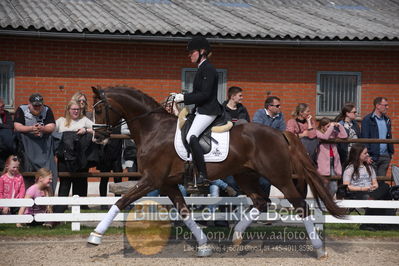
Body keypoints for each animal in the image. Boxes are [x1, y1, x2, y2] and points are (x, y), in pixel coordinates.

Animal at [89, 87, 346, 258]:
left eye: (100, 109)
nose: (97, 138)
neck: (154, 129)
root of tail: (279, 133)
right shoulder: (167, 183)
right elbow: (184, 212)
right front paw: (204, 245)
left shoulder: (152, 179)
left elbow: (121, 201)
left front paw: (95, 236)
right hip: (245, 175)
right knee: (261, 202)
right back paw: (236, 237)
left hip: (278, 176)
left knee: (299, 205)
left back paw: (319, 250)